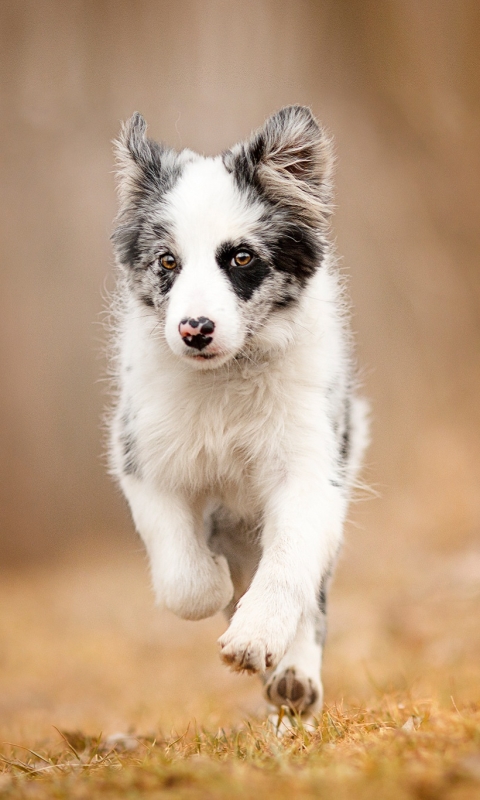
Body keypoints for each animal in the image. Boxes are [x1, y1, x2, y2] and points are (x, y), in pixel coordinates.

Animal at [109, 108, 368, 720]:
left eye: (241, 257)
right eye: (168, 261)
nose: (194, 330)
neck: (224, 382)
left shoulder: (311, 469)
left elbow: (288, 564)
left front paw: (255, 638)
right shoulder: (141, 455)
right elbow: (184, 579)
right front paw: (214, 589)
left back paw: (294, 677)